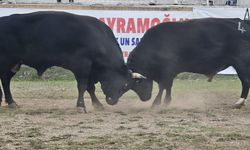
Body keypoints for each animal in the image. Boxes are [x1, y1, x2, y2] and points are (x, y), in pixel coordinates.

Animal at [0, 11, 132, 112]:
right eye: (124, 85)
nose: (113, 101)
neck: (98, 39)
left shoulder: (90, 69)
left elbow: (90, 88)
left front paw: (97, 104)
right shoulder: (82, 66)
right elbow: (83, 86)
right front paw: (81, 106)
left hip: (14, 64)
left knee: (5, 80)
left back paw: (11, 102)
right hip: (6, 61)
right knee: (5, 80)